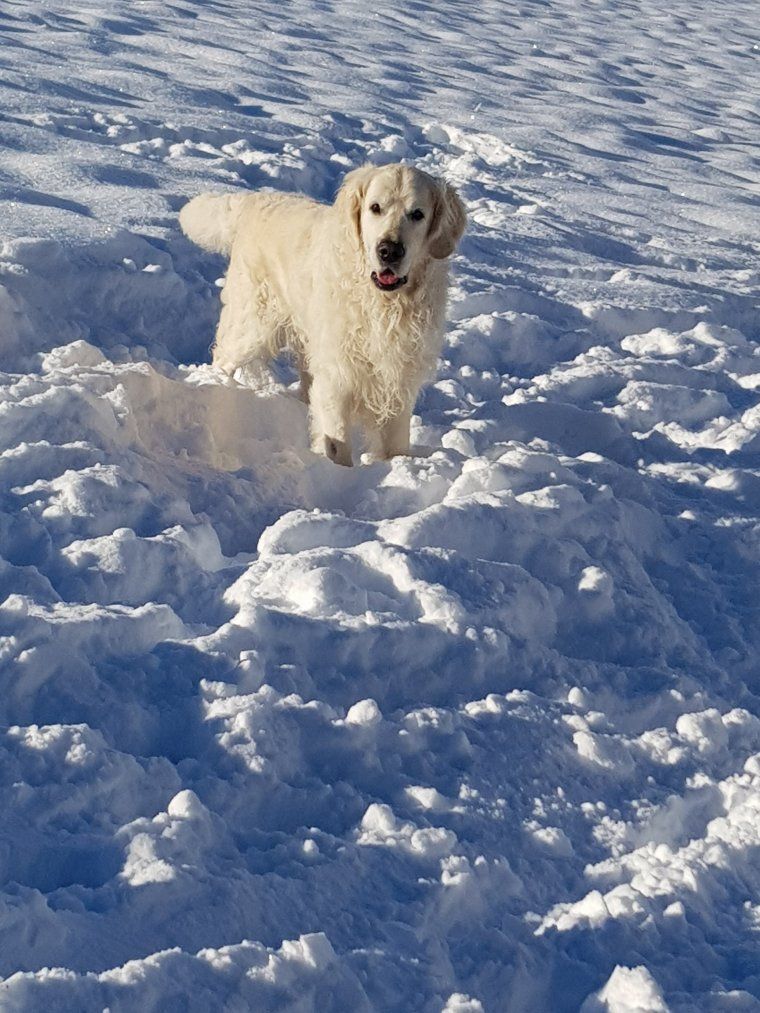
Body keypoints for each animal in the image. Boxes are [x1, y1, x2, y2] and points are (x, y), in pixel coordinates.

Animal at [181, 163, 468, 465]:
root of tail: (256, 200)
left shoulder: (399, 381)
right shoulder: (337, 375)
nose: (389, 251)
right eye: (375, 207)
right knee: (222, 358)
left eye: (417, 214)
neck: (383, 304)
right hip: (252, 327)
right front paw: (340, 471)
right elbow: (337, 440)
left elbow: (395, 444)